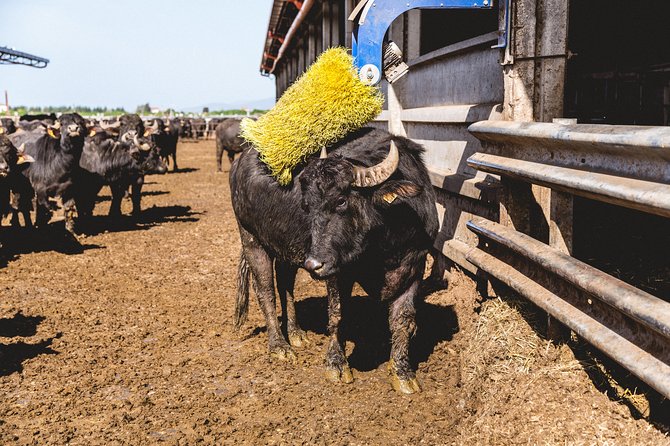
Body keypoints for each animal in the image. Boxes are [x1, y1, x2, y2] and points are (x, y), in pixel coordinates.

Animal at [231, 126, 440, 394]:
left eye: (341, 201)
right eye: (307, 206)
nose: (313, 265)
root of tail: (240, 162)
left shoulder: (415, 266)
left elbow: (403, 320)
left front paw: (403, 373)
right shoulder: (337, 270)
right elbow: (337, 313)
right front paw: (336, 365)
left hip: (287, 249)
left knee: (285, 285)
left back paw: (296, 334)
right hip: (251, 239)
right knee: (266, 291)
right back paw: (280, 347)